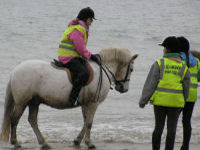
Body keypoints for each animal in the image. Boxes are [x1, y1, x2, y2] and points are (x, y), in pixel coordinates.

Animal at [0, 47, 138, 149]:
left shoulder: (86, 103)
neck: (103, 69)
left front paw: (77, 141)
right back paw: (16, 142)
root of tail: (15, 71)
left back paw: (44, 143)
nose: (124, 89)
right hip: (22, 102)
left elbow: (85, 121)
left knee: (32, 120)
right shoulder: (93, 103)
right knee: (14, 119)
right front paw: (89, 143)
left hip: (34, 101)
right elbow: (89, 122)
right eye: (131, 69)